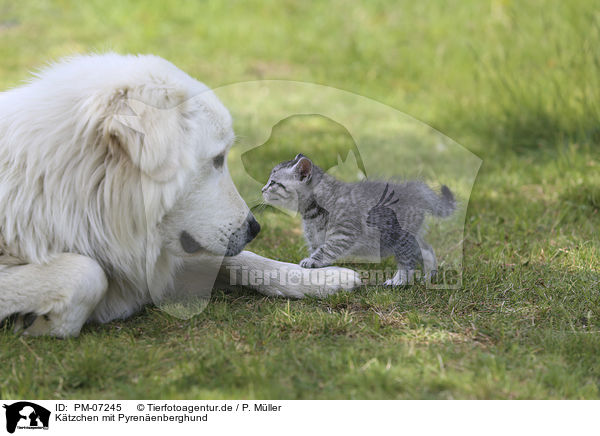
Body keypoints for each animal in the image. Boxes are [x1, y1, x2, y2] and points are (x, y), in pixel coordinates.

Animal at [0, 52, 358, 338]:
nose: (255, 229)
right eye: (218, 158)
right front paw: (46, 322)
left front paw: (325, 277)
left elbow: (246, 259)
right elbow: (86, 273)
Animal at [262, 154, 454, 286]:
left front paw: (312, 261)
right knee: (426, 249)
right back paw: (429, 275)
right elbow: (319, 250)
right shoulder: (315, 238)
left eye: (273, 183)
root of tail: (414, 190)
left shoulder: (343, 233)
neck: (313, 211)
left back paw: (399, 281)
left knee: (408, 260)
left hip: (400, 237)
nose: (263, 190)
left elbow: (327, 249)